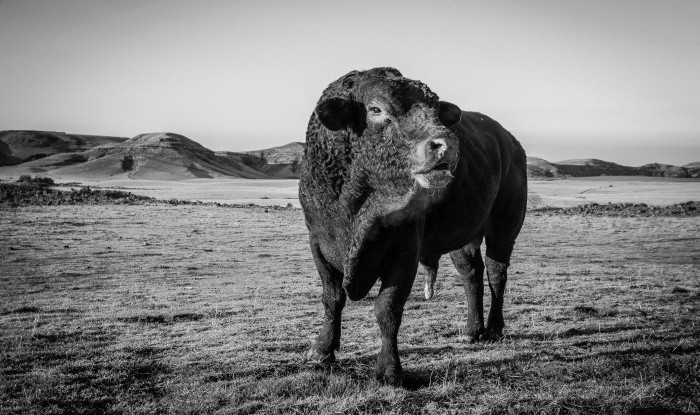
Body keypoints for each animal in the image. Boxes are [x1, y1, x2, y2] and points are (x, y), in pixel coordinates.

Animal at [299, 67, 527, 385]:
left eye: (434, 108)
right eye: (375, 109)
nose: (446, 145)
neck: (354, 206)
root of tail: (511, 143)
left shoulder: (404, 251)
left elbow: (388, 309)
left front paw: (389, 371)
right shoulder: (318, 243)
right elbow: (332, 299)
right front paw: (321, 351)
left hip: (504, 229)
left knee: (496, 273)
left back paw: (493, 329)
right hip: (462, 235)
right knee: (472, 274)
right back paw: (472, 331)